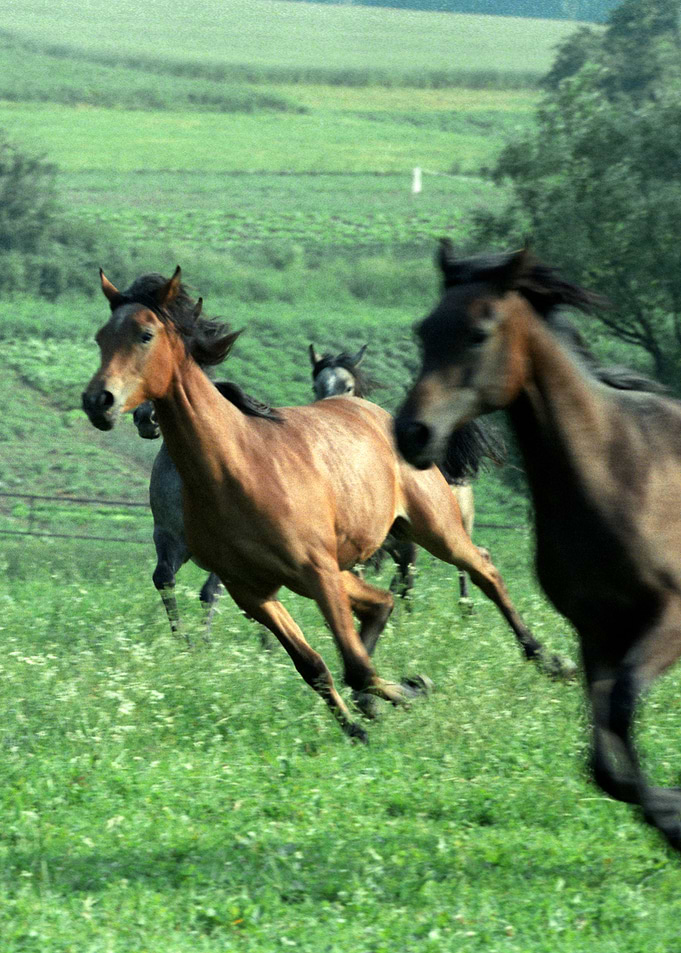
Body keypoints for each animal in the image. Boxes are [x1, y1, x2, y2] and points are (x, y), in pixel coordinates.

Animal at [308, 342, 494, 600]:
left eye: (348, 387)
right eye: (315, 387)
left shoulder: (407, 548)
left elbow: (405, 586)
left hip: (459, 528)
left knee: (463, 569)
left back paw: (466, 606)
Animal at [394, 240, 681, 851]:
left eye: (479, 332)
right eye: (424, 330)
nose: (412, 433)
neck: (621, 472)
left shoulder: (669, 618)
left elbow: (623, 707)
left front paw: (673, 818)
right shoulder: (595, 631)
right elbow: (604, 761)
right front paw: (669, 813)